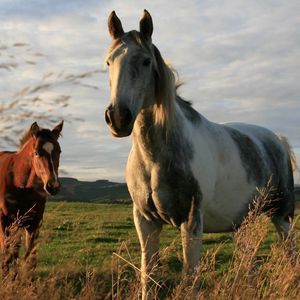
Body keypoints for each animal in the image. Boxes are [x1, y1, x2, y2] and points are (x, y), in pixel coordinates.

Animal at [104, 9, 296, 298]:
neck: (154, 159)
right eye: (108, 62)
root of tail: (278, 140)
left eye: (146, 61)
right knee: (249, 263)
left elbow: (190, 277)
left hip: (282, 217)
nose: (118, 117)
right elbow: (148, 276)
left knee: (290, 254)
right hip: (242, 224)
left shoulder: (192, 221)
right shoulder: (145, 221)